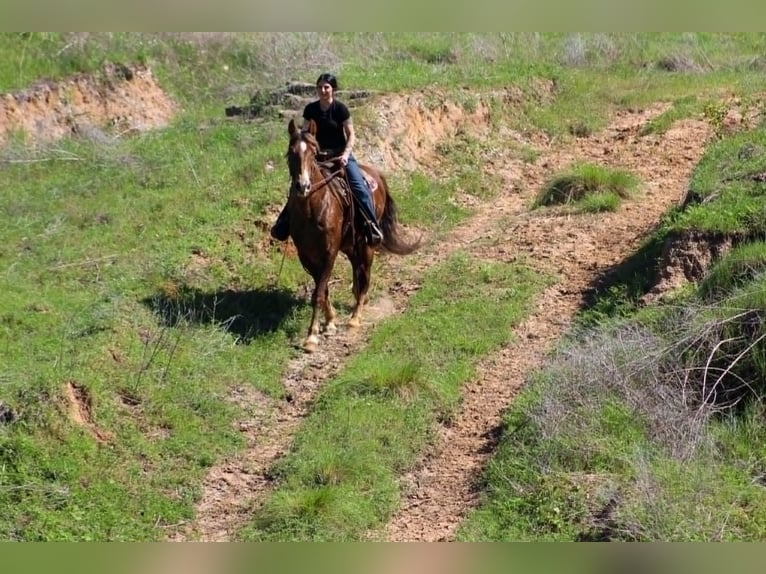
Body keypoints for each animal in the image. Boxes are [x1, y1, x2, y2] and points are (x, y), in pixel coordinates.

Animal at [284, 118, 421, 352]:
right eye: (290, 153)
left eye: (313, 152)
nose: (303, 186)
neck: (313, 209)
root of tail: (376, 175)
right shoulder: (307, 256)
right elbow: (322, 290)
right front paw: (329, 322)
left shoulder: (329, 253)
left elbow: (318, 293)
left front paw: (311, 336)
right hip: (351, 245)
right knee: (358, 272)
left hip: (367, 243)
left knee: (365, 276)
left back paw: (356, 317)